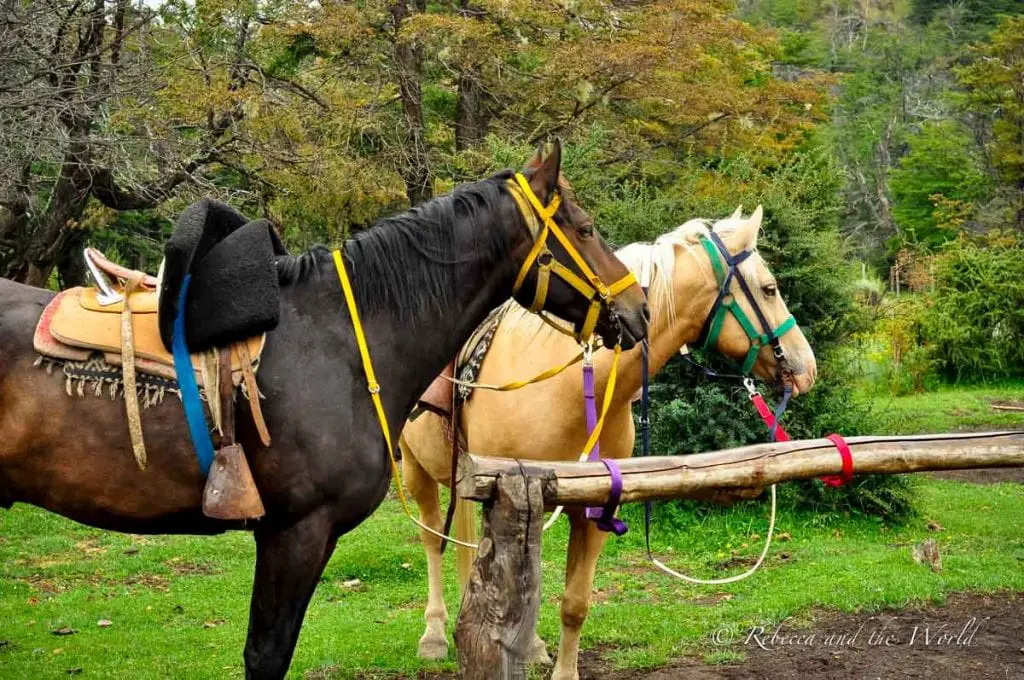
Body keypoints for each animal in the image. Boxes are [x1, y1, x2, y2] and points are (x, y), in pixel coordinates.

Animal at [399, 206, 815, 680]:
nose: (807, 368)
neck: (572, 388)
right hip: (415, 470)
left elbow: (574, 603)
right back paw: (434, 634)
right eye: (769, 289)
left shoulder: (594, 504)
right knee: (432, 539)